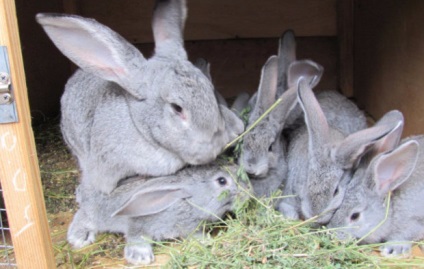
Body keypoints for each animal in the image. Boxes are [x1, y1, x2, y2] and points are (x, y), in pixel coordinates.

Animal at [68, 161, 250, 264]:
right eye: (222, 181)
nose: (248, 191)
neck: (185, 202)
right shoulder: (140, 221)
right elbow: (136, 234)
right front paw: (140, 257)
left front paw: (205, 240)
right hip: (96, 212)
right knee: (83, 215)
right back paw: (79, 237)